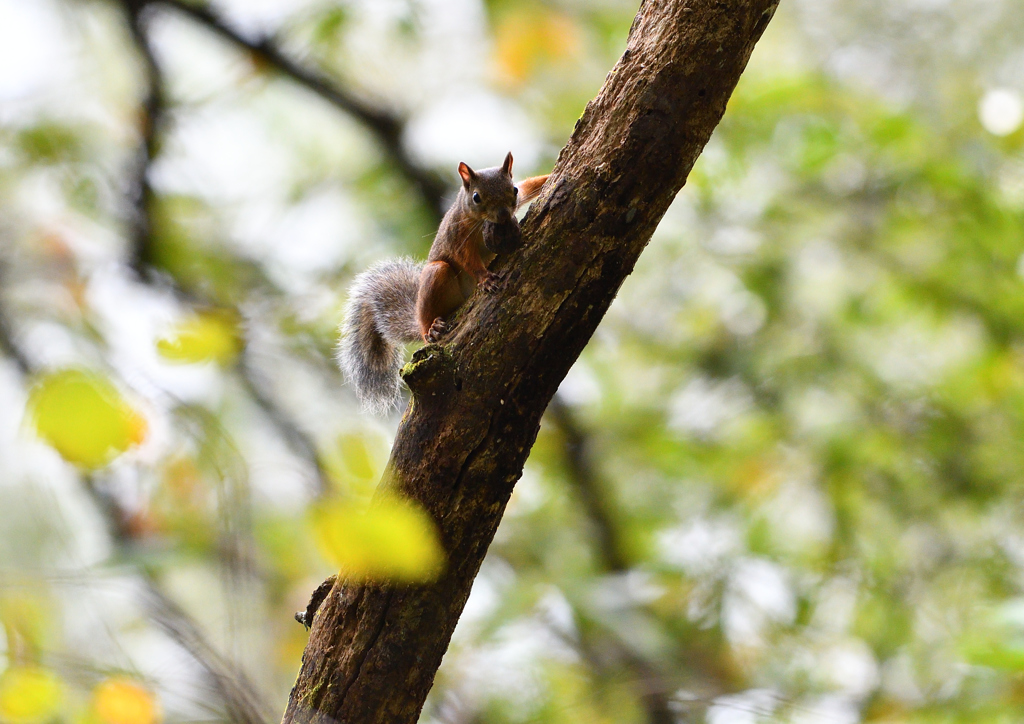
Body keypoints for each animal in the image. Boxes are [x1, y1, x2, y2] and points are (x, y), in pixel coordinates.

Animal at [337, 152, 548, 413]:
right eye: (476, 197)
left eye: (514, 189)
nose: (502, 215)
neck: (479, 221)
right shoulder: (457, 236)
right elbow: (467, 259)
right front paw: (485, 278)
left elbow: (532, 185)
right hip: (437, 275)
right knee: (427, 315)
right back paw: (432, 329)